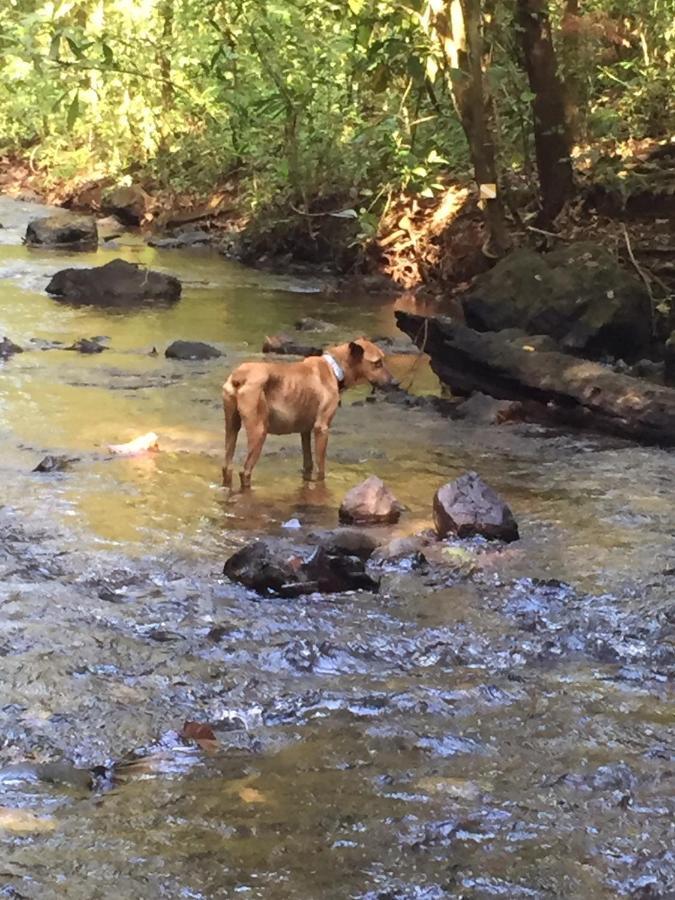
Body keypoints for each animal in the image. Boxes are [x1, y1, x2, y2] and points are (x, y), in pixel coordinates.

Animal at [223, 340, 396, 492]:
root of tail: (240, 376)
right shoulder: (321, 429)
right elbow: (321, 468)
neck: (335, 369)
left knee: (227, 466)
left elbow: (308, 464)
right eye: (377, 363)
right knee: (245, 471)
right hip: (259, 431)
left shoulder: (304, 431)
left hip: (231, 427)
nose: (395, 383)